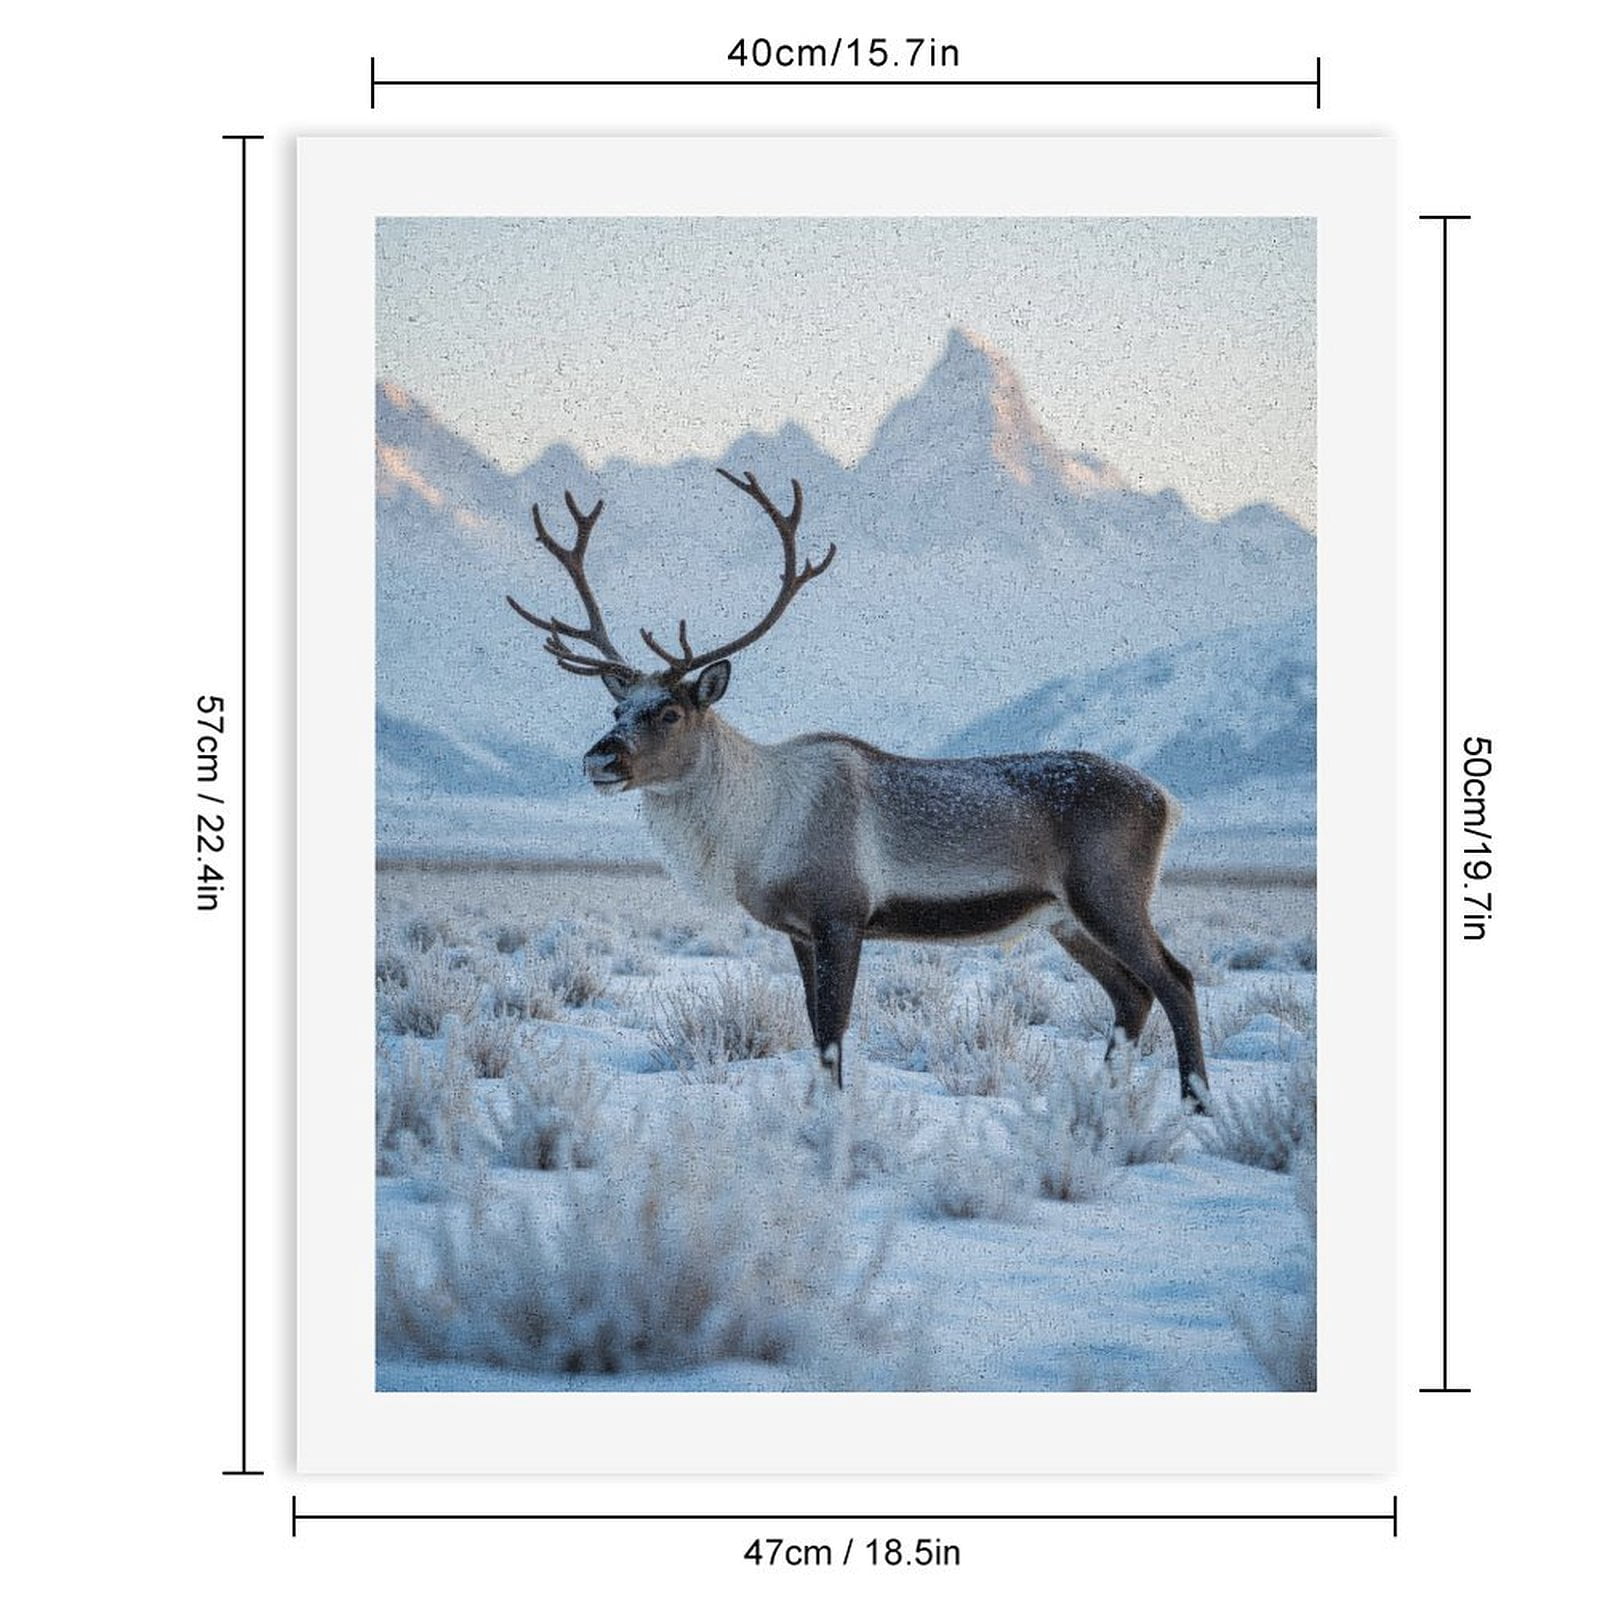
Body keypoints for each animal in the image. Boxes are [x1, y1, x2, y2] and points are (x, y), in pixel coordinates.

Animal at [507, 470, 1209, 1109]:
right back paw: (1100, 1101)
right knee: (1131, 993)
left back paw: (1195, 1105)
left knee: (1174, 980)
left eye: (670, 712)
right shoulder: (797, 931)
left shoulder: (842, 916)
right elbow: (816, 1029)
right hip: (1064, 919)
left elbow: (833, 1034)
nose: (600, 759)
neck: (755, 829)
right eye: (619, 710)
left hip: (1108, 894)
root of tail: (1167, 801)